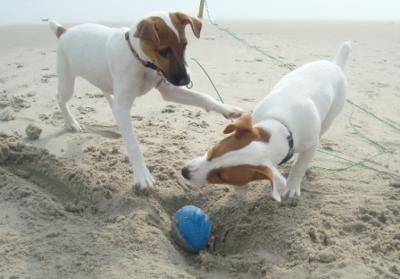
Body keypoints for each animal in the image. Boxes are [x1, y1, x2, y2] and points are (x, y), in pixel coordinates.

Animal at [50, 10, 244, 190]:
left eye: (184, 45)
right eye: (163, 51)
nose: (185, 80)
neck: (141, 60)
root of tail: (64, 31)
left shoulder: (169, 89)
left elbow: (203, 96)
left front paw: (227, 109)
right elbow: (134, 146)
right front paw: (142, 176)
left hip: (103, 80)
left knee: (109, 96)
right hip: (67, 81)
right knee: (60, 98)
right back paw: (71, 122)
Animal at [181, 41, 350, 202]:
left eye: (221, 176)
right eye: (213, 150)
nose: (184, 172)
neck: (281, 127)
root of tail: (334, 64)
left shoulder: (310, 145)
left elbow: (299, 166)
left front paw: (292, 185)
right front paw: (240, 191)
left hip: (331, 116)